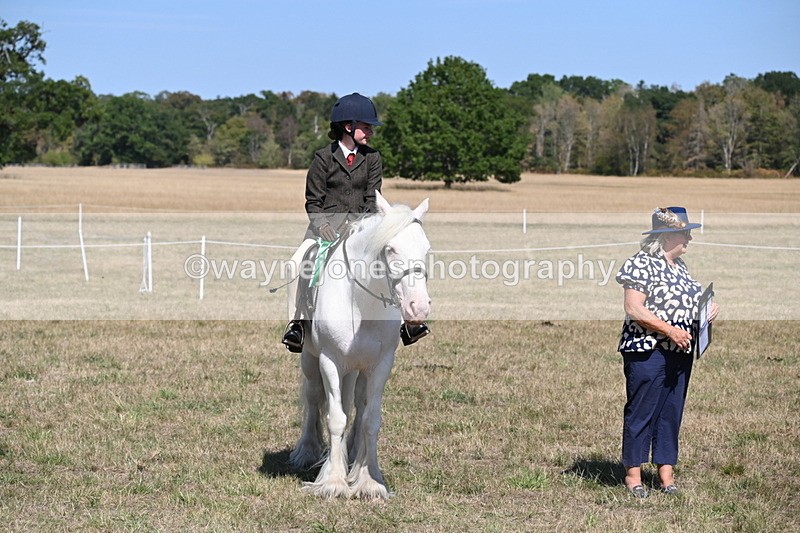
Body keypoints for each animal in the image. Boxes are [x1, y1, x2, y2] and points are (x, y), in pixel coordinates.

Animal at [288, 191, 432, 500]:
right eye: (390, 249)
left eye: (426, 249)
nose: (418, 307)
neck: (360, 303)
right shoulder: (329, 361)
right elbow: (335, 417)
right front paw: (333, 482)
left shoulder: (381, 365)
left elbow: (370, 418)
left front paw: (369, 480)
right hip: (310, 359)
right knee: (314, 396)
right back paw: (307, 451)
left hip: (358, 368)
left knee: (357, 402)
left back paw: (352, 454)